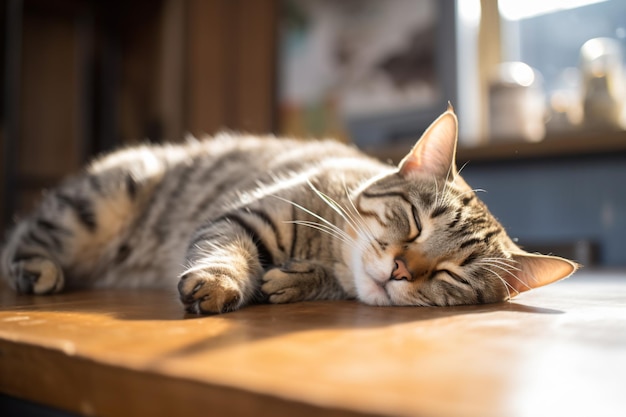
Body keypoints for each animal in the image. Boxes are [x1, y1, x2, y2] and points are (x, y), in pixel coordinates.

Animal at [0, 107, 576, 312]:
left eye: (454, 274)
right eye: (415, 222)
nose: (399, 270)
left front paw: (296, 281)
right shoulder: (244, 215)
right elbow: (226, 251)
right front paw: (223, 283)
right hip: (105, 198)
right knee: (21, 237)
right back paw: (36, 270)